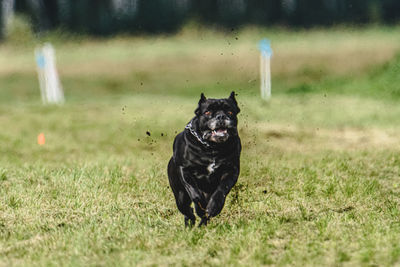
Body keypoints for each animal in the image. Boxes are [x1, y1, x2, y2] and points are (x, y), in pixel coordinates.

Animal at [166, 91, 241, 226]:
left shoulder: (231, 170)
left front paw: (214, 207)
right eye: (207, 112)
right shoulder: (184, 169)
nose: (220, 116)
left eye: (230, 111)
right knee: (186, 209)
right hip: (180, 195)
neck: (212, 148)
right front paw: (200, 208)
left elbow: (222, 189)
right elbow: (193, 191)